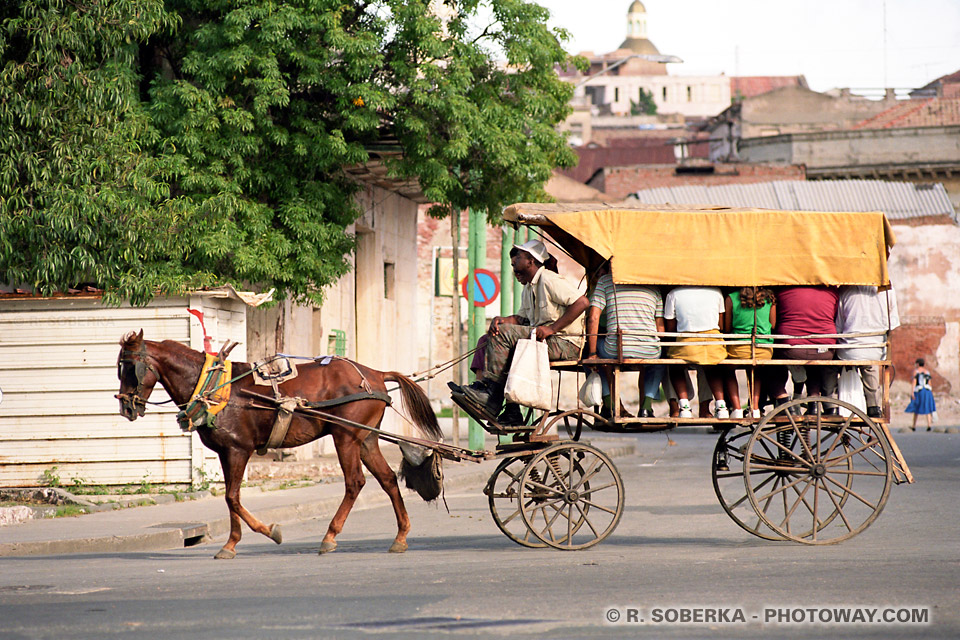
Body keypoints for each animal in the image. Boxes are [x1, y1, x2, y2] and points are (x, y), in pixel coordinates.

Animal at [116, 330, 442, 556]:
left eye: (129, 368)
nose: (125, 407)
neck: (213, 386)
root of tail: (375, 375)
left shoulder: (239, 450)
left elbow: (232, 497)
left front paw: (267, 532)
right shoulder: (225, 453)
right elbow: (231, 497)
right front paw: (232, 543)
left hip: (345, 436)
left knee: (354, 482)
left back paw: (330, 536)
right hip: (366, 439)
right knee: (387, 479)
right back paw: (400, 536)